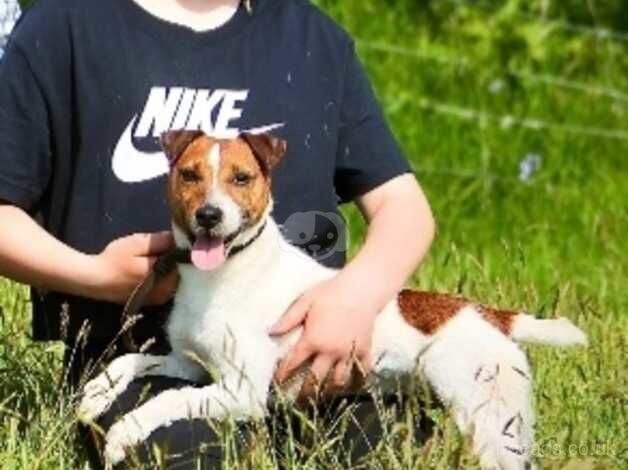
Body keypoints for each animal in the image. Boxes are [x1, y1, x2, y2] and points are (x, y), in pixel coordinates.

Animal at [78, 130, 588, 468]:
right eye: (189, 174)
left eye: (241, 178)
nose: (209, 215)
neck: (223, 277)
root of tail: (489, 315)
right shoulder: (190, 364)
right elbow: (130, 361)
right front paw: (97, 392)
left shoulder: (240, 392)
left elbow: (165, 401)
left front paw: (124, 432)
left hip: (489, 420)